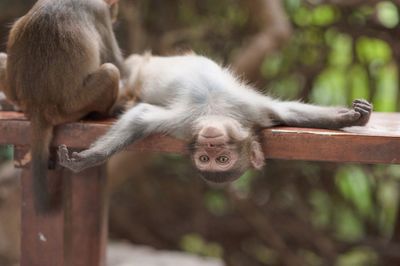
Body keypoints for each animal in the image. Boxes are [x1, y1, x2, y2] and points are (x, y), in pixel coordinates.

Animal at [2, 0, 125, 213]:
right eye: (112, 9)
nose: (115, 16)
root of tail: (38, 106)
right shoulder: (99, 11)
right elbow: (117, 62)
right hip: (72, 107)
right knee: (111, 71)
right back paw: (103, 112)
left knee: (1, 59)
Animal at [58, 53, 372, 184]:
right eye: (205, 158)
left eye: (221, 160)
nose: (210, 143)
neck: (215, 111)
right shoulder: (185, 124)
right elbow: (141, 117)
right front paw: (90, 158)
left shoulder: (251, 113)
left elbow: (285, 111)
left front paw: (351, 118)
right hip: (138, 69)